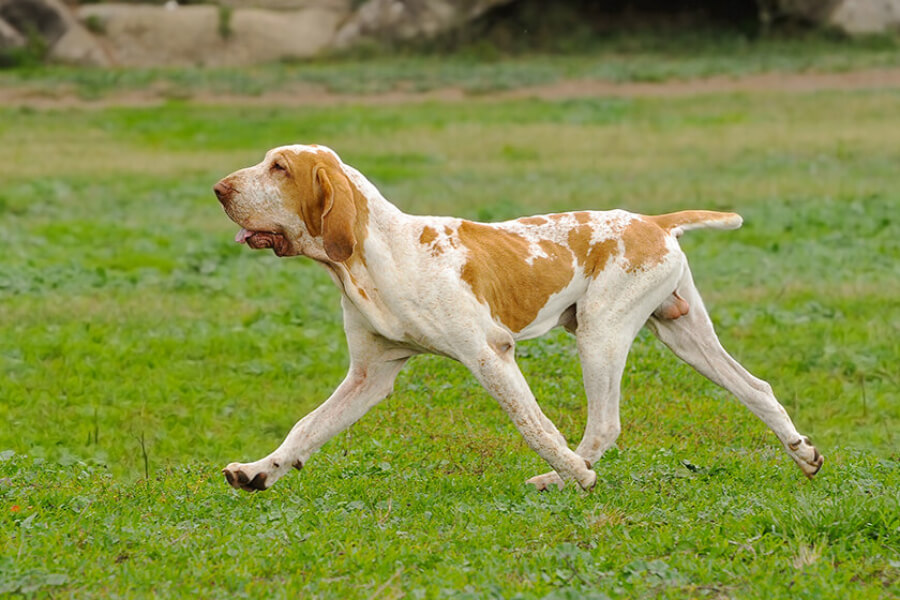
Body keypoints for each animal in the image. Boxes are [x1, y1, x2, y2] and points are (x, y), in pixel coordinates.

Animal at [211, 145, 824, 492]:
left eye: (279, 168)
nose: (218, 189)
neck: (380, 253)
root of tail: (654, 221)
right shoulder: (369, 375)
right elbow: (306, 427)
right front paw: (260, 471)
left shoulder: (489, 355)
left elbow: (536, 426)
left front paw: (576, 476)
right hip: (684, 336)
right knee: (757, 389)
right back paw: (803, 454)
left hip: (600, 334)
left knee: (603, 424)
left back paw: (562, 477)